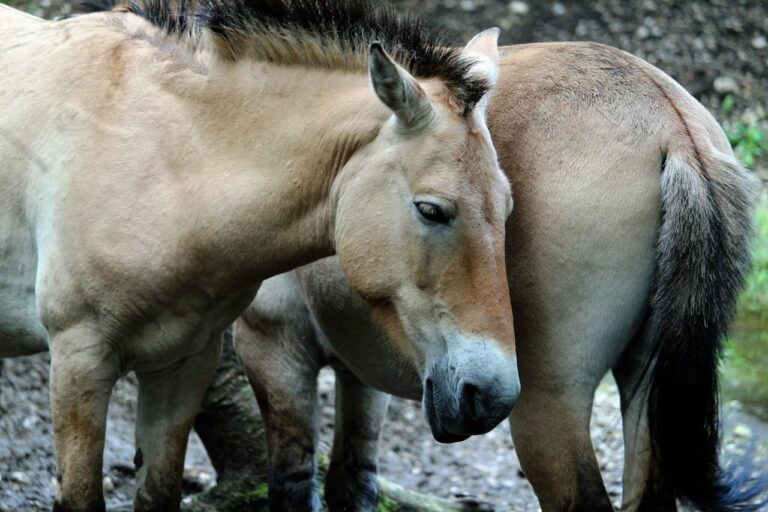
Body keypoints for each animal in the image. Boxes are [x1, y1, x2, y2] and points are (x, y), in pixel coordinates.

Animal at [0, 0, 519, 509]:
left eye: (508, 205)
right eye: (431, 210)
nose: (492, 395)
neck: (161, 159)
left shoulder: (183, 365)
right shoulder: (80, 361)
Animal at [235, 42, 768, 511]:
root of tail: (670, 121)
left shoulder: (273, 347)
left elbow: (293, 485)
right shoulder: (361, 371)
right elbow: (353, 482)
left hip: (549, 407)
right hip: (647, 385)